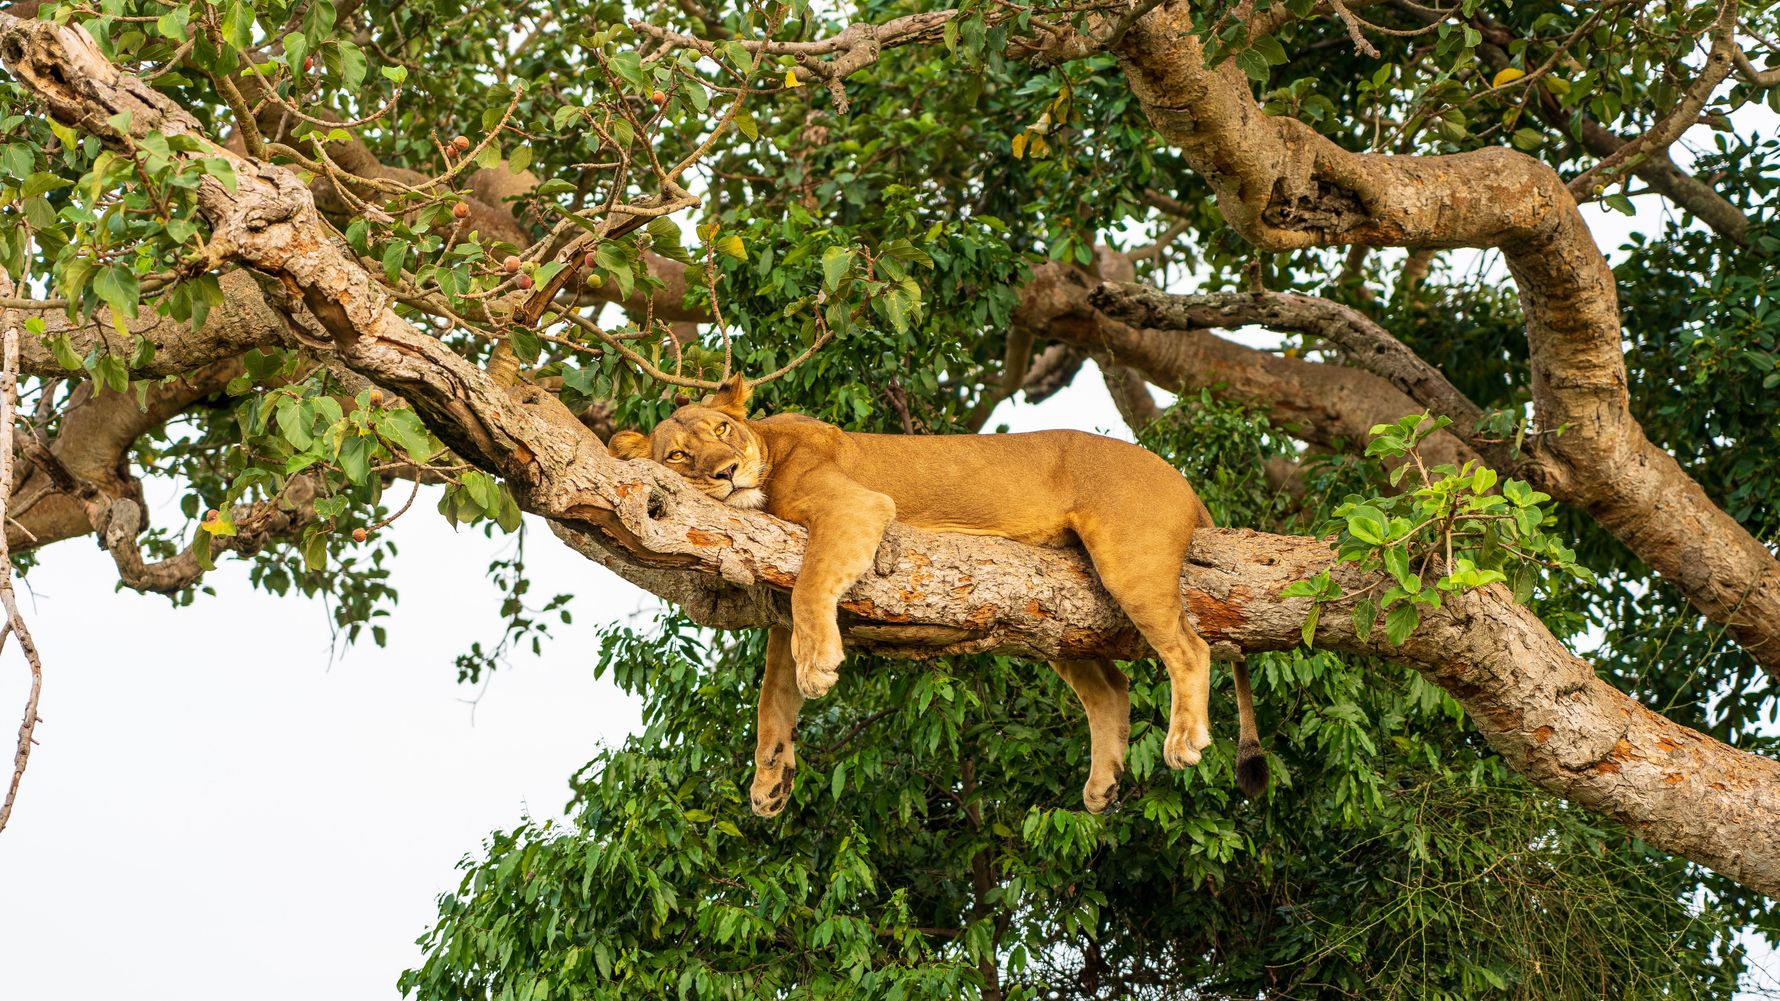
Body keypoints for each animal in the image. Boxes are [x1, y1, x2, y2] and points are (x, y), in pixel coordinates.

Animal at [607, 374, 1266, 817]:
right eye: (679, 455)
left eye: (723, 430)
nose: (727, 472)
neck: (767, 445)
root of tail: (1180, 478)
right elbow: (774, 691)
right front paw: (770, 780)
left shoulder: (856, 506)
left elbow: (810, 590)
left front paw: (818, 665)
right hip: (1055, 611)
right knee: (1111, 687)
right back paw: (1103, 784)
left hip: (1131, 562)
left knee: (1189, 649)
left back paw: (1184, 741)